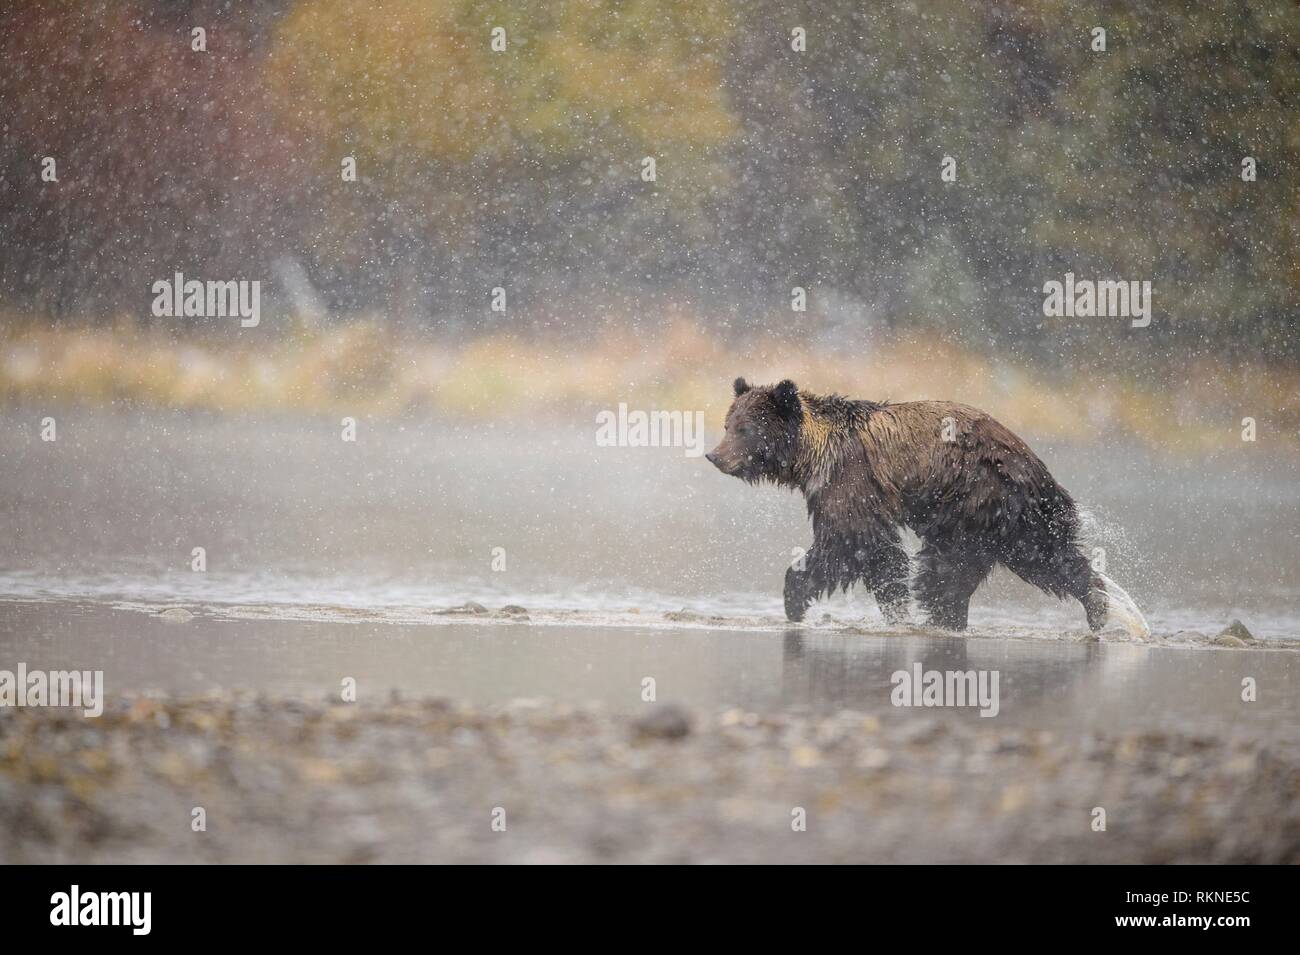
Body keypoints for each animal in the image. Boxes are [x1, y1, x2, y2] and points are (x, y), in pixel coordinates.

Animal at [706, 377, 1148, 637]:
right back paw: (1101, 605)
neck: (811, 457)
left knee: (947, 570)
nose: (714, 455)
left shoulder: (850, 481)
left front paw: (795, 599)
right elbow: (878, 554)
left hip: (974, 502)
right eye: (728, 424)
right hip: (1015, 523)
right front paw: (894, 609)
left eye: (744, 429)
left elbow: (849, 543)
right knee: (1048, 557)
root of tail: (1037, 470)